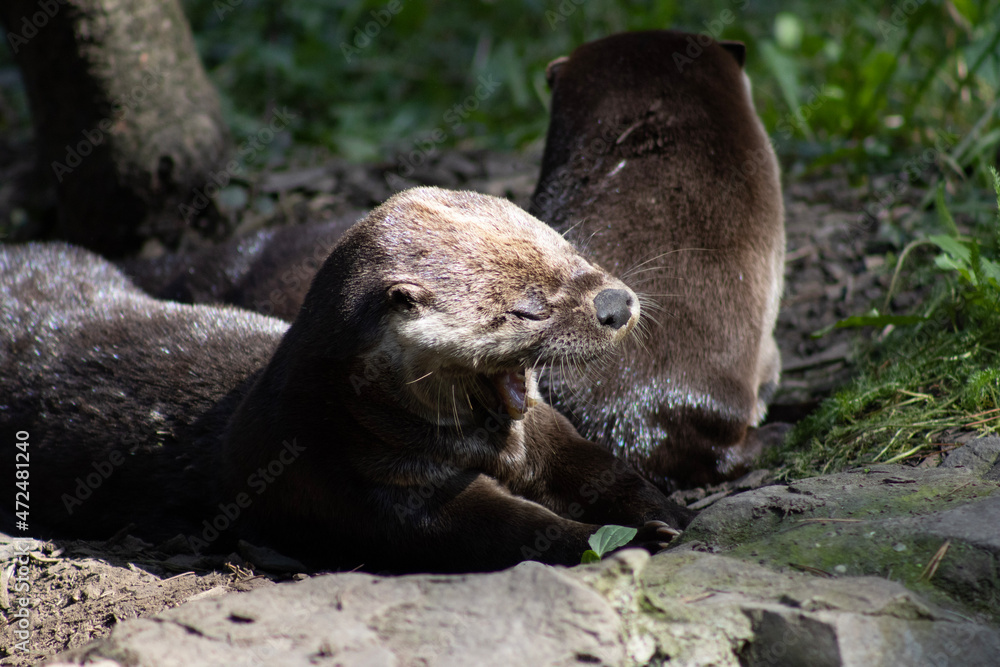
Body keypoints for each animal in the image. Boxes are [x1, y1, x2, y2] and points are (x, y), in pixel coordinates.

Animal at [1, 187, 690, 573]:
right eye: (528, 306)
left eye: (569, 250)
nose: (616, 303)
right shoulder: (362, 485)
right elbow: (503, 529)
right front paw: (633, 543)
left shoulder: (544, 432)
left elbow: (592, 463)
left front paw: (664, 508)